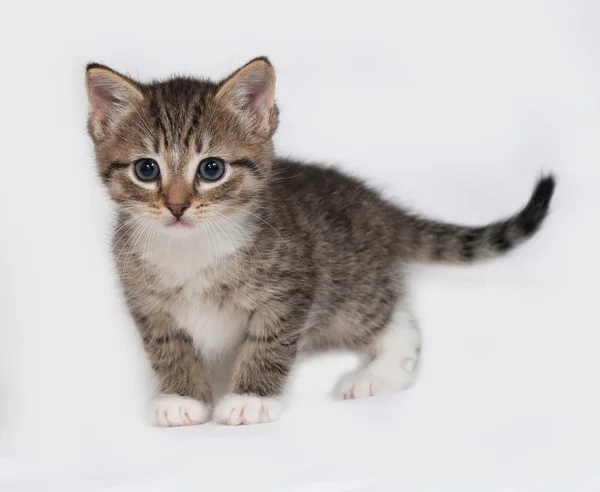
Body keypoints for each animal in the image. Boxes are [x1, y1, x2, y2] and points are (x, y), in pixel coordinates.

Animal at [85, 57, 556, 426]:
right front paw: (181, 397)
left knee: (398, 320)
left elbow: (269, 342)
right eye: (147, 169)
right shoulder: (146, 301)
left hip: (350, 289)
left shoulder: (293, 286)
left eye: (211, 168)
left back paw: (377, 374)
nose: (177, 206)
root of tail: (375, 205)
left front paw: (250, 399)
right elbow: (168, 347)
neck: (193, 247)